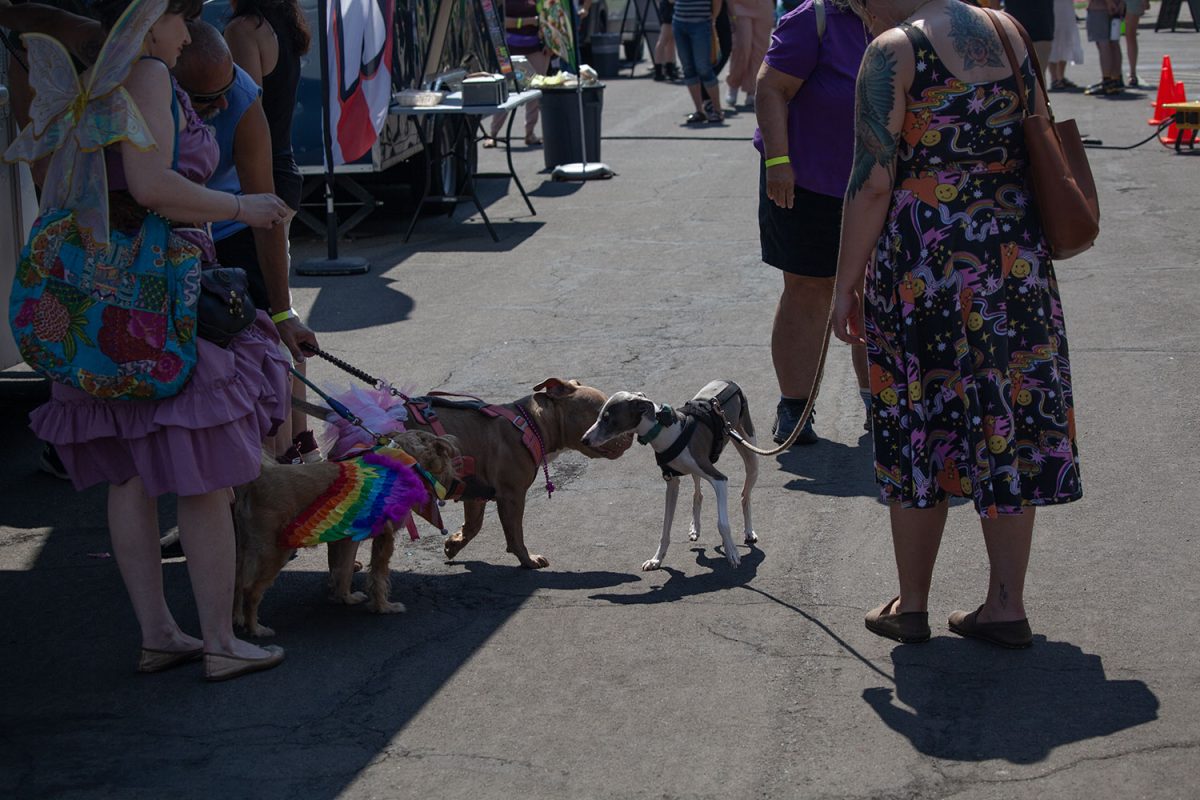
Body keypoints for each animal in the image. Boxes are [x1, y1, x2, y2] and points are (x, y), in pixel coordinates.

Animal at [580, 381, 758, 568]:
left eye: (607, 418)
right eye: (600, 415)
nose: (584, 440)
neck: (668, 433)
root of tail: (728, 382)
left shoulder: (719, 480)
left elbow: (722, 523)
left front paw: (732, 553)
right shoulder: (671, 482)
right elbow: (665, 527)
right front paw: (656, 559)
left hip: (750, 456)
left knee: (745, 496)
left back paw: (748, 532)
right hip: (699, 468)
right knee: (698, 494)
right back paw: (695, 528)